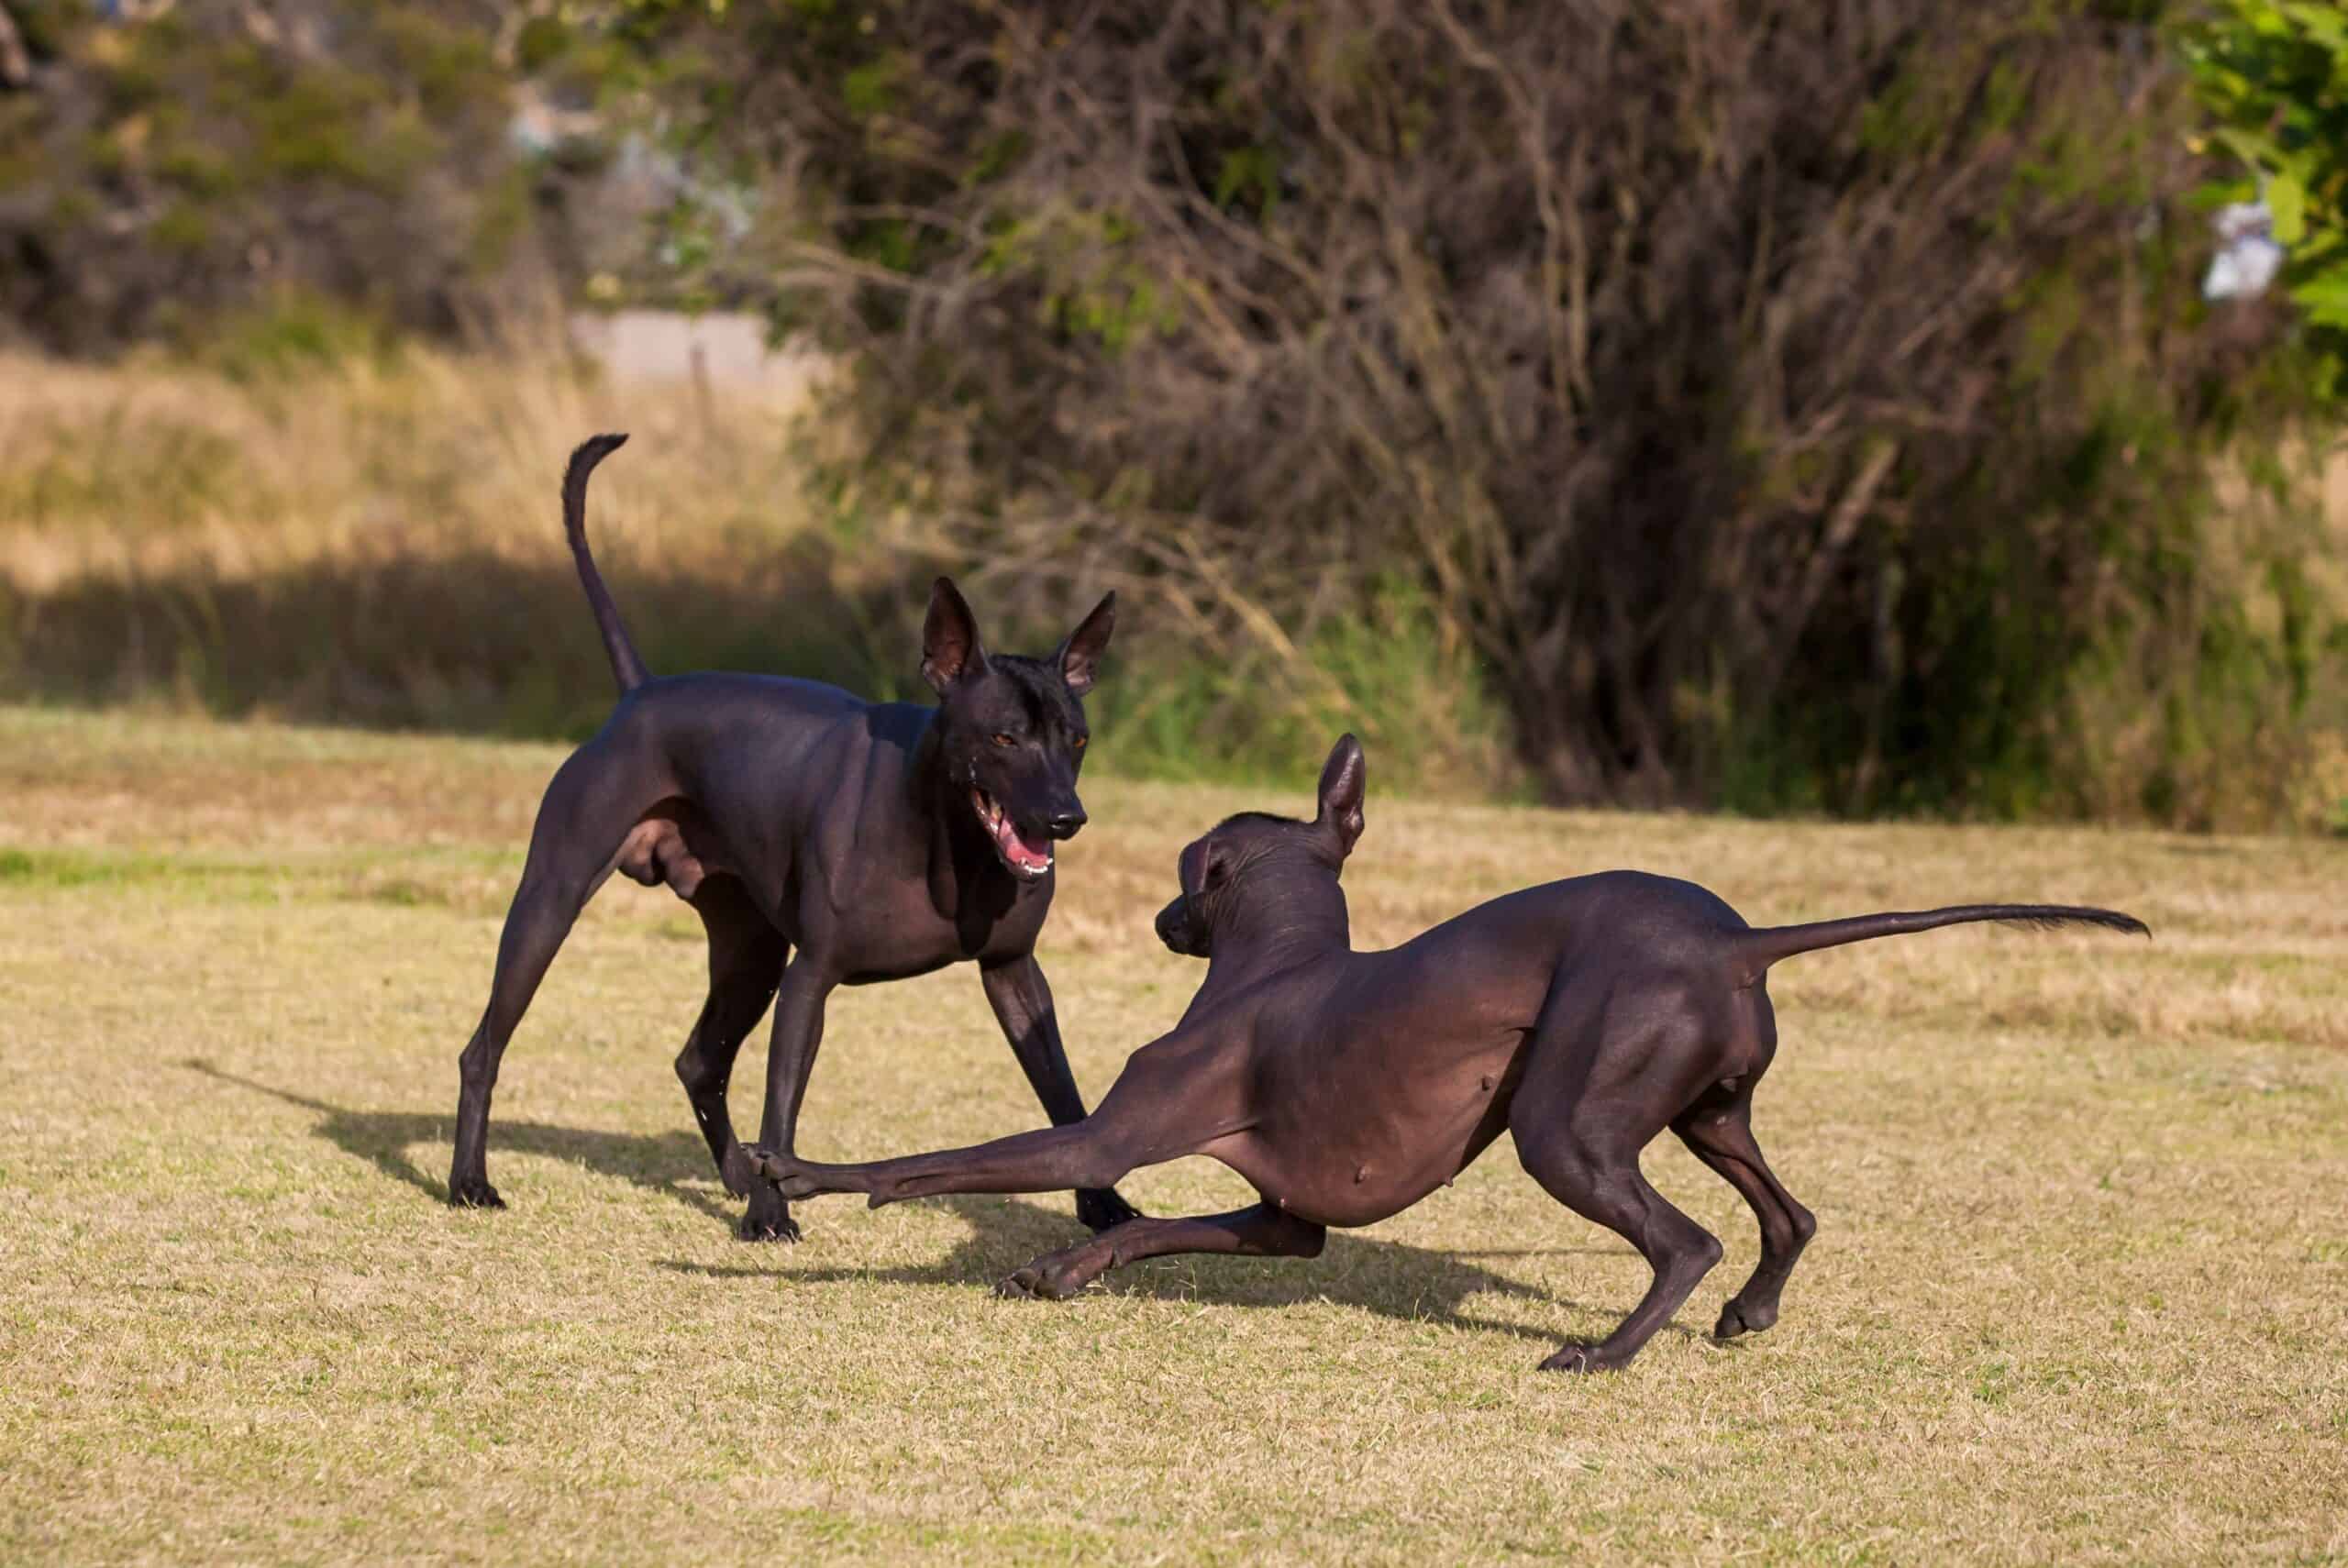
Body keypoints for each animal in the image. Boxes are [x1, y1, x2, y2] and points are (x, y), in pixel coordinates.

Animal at [449, 434, 1139, 1241]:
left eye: (1078, 739)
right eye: (1004, 737)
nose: (1066, 818)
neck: (950, 845)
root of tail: (641, 693)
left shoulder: (1014, 972)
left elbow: (1062, 1093)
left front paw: (1105, 1205)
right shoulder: (812, 976)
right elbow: (782, 1107)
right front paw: (771, 1212)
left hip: (749, 951)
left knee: (699, 1062)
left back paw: (735, 1175)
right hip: (550, 905)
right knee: (483, 1048)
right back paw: (470, 1182)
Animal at [743, 734, 2147, 1370]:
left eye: (1192, 873)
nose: (1158, 920)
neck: (1278, 959)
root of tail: (1739, 941)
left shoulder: (1109, 1128)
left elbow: (945, 1159)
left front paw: (799, 1175)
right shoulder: (1283, 1224)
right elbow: (1155, 1227)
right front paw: (1065, 1267)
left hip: (1564, 1126)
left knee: (1683, 1239)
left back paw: (1606, 1352)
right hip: (1707, 1108)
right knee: (1787, 1213)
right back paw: (1749, 1311)